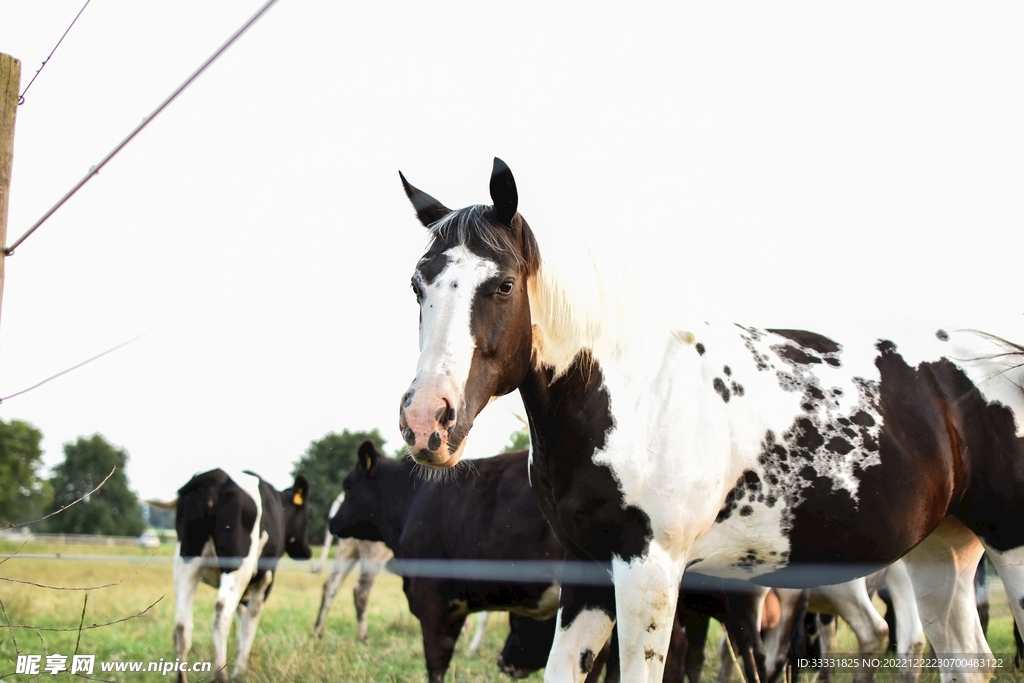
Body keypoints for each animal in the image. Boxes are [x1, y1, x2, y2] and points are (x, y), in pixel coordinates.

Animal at [395, 157, 1024, 683]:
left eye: (502, 285)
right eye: (418, 284)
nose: (426, 420)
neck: (634, 393)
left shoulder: (650, 572)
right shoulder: (588, 572)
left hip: (1008, 548)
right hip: (941, 551)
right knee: (966, 659)